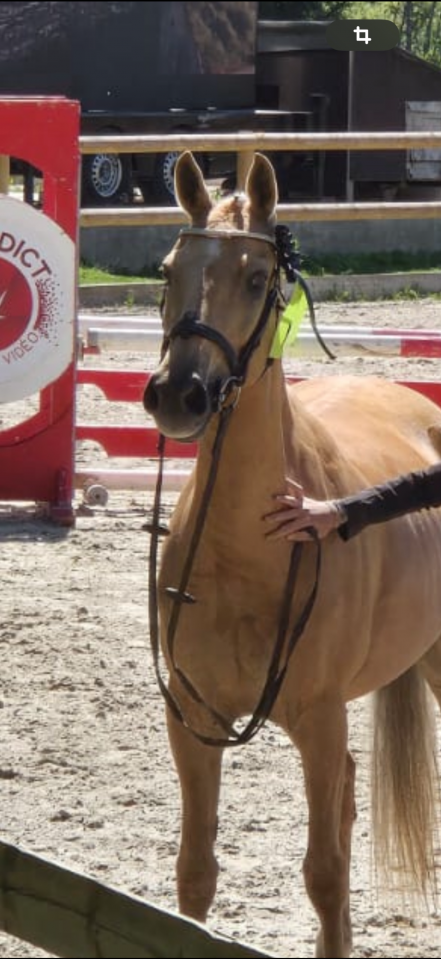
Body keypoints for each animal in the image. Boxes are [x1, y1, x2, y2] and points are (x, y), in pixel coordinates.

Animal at [143, 150, 441, 958]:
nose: (178, 394)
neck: (250, 549)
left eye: (255, 278)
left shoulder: (317, 719)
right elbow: (193, 872)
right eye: (168, 270)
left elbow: (325, 873)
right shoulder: (192, 716)